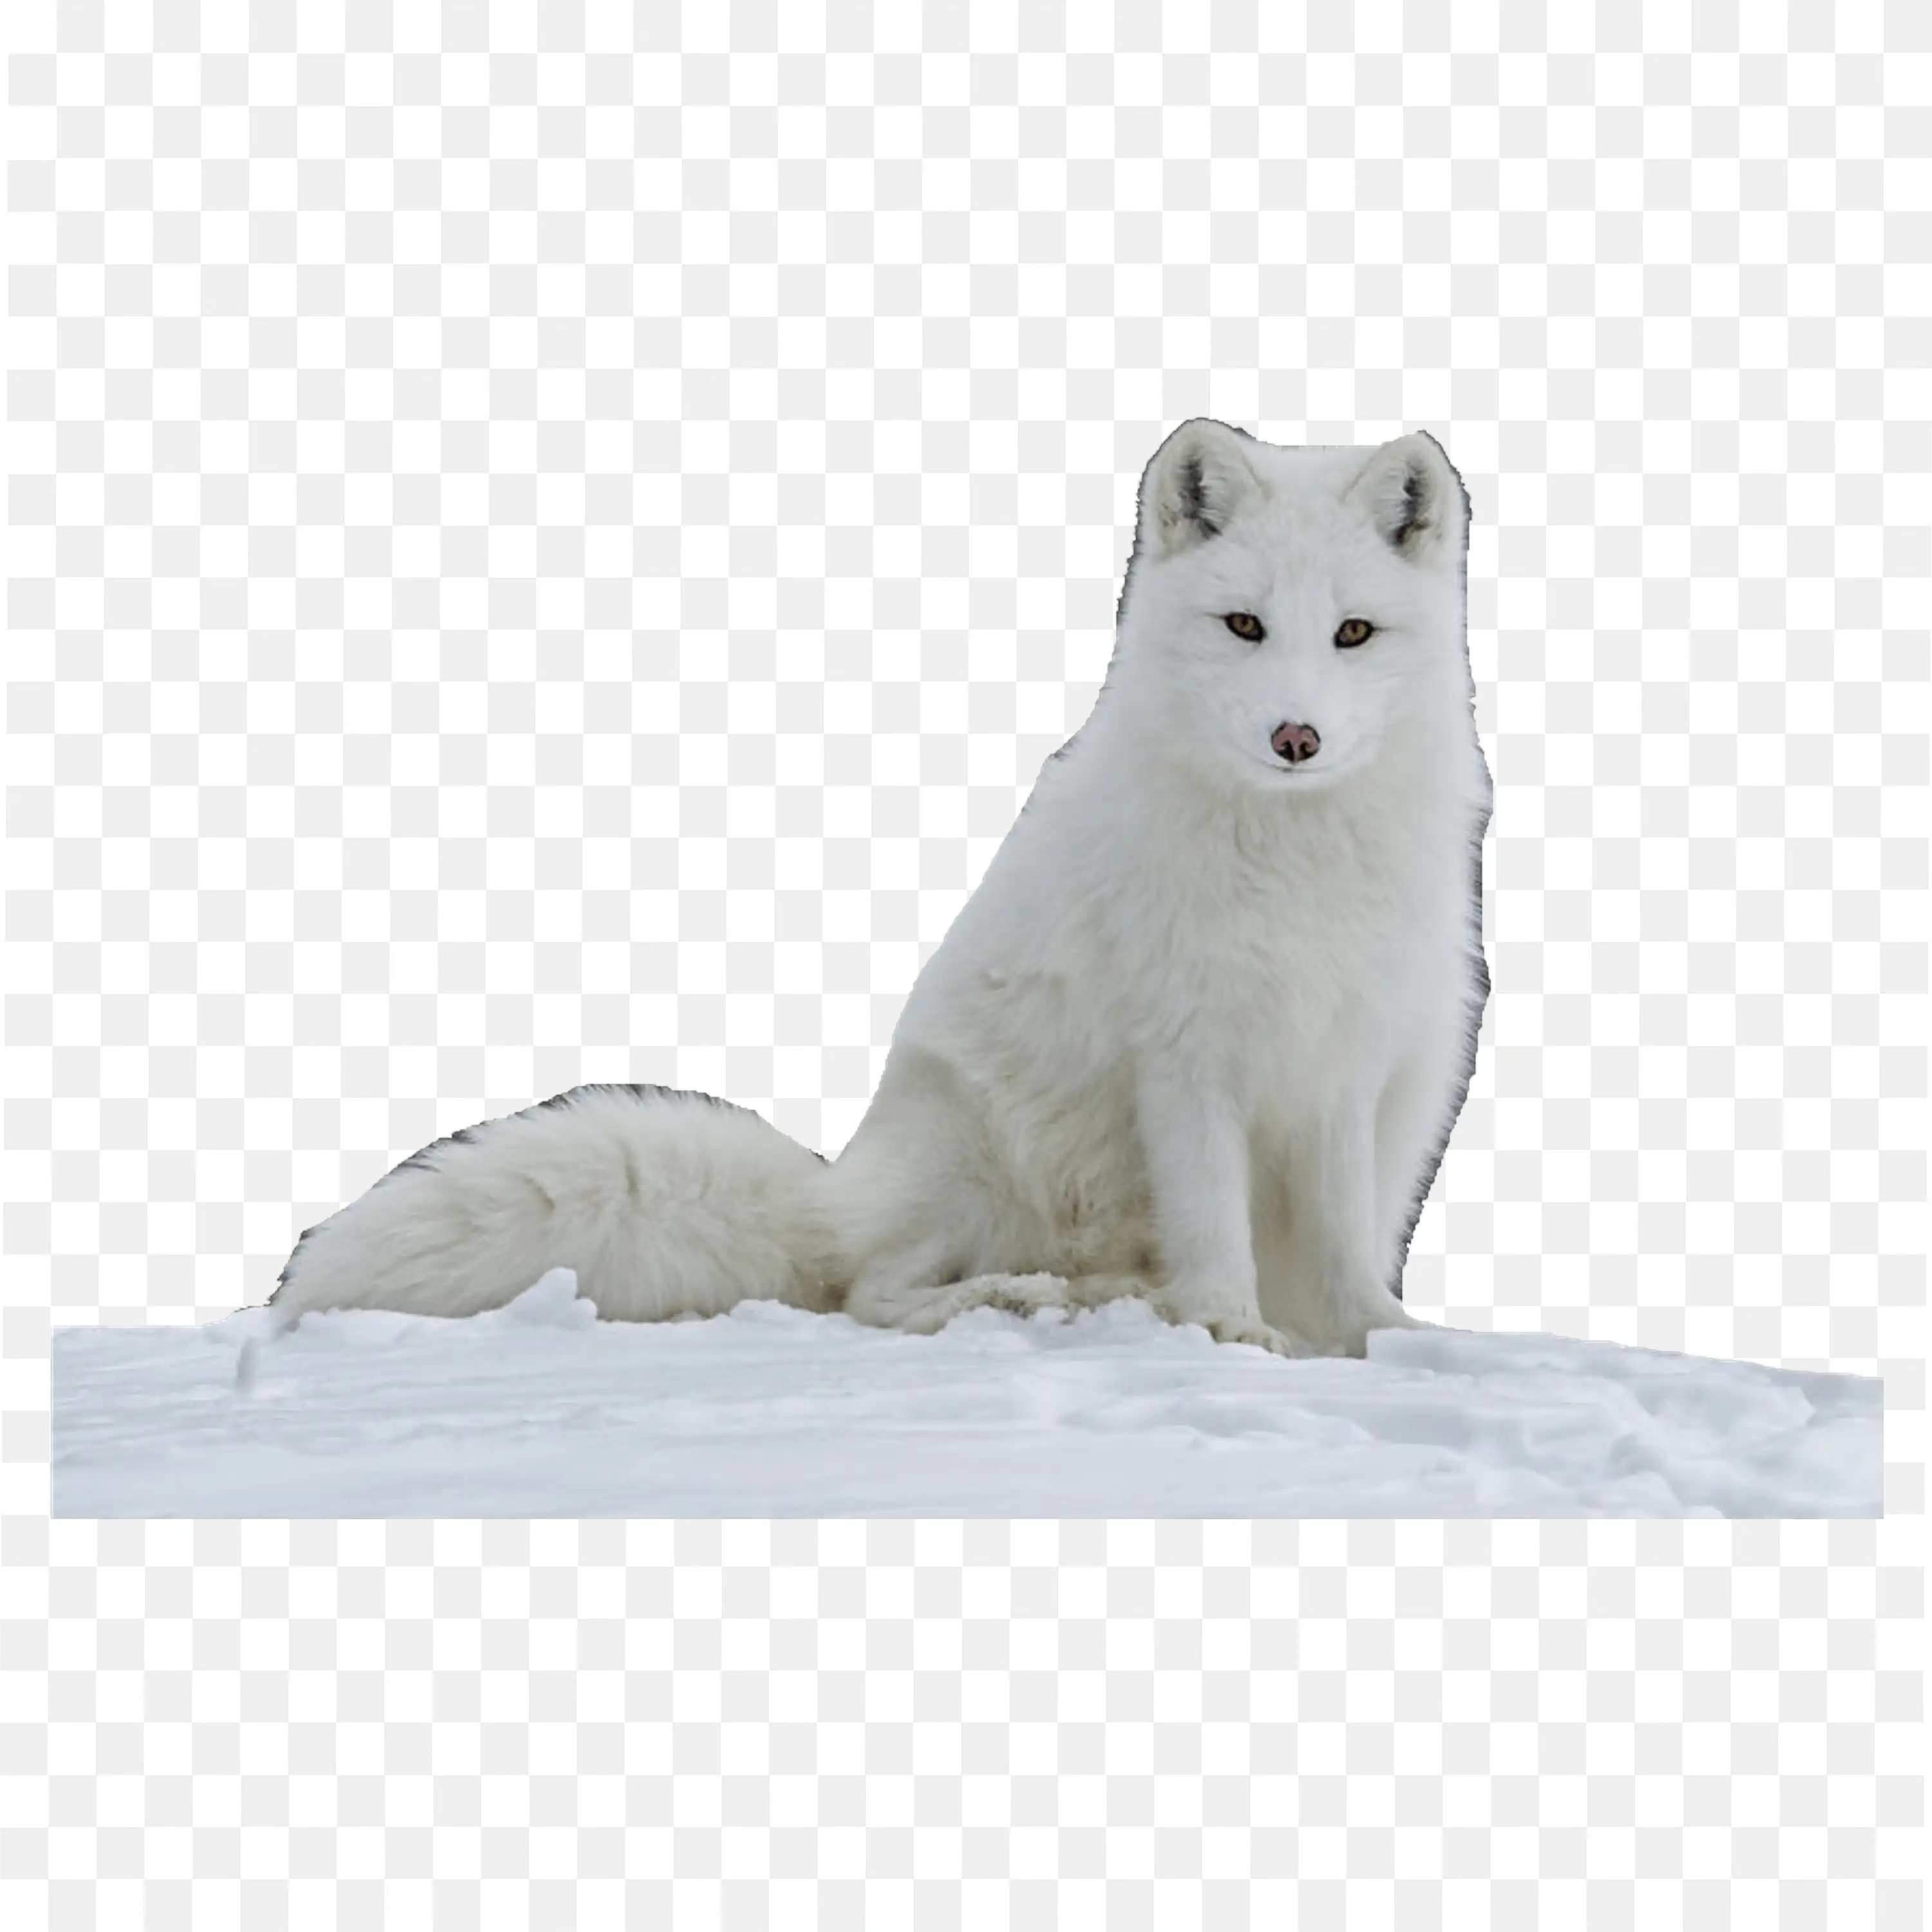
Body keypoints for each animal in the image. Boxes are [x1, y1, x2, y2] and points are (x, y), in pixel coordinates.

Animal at [266, 419, 1493, 1359]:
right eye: (1244, 625)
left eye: (1352, 632)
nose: (1297, 737)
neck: (1293, 859)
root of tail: (837, 1190)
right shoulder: (1185, 1060)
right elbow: (1215, 1232)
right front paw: (1235, 1332)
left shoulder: (1347, 1063)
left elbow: (1341, 1247)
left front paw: (1386, 1339)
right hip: (975, 1147)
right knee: (870, 1292)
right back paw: (1019, 1298)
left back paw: (1102, 1297)